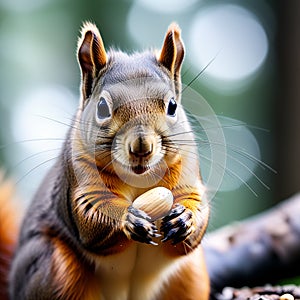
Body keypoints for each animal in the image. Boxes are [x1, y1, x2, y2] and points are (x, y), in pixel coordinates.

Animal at [0, 21, 211, 300]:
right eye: (102, 107)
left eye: (173, 106)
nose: (141, 146)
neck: (138, 178)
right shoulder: (79, 177)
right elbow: (89, 212)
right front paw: (129, 219)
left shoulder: (187, 169)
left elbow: (196, 208)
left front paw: (184, 218)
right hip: (54, 267)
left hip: (191, 275)